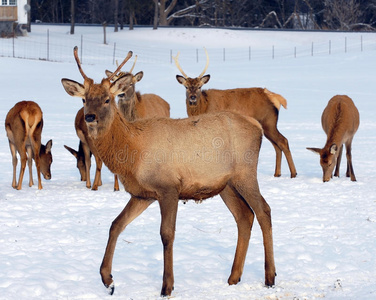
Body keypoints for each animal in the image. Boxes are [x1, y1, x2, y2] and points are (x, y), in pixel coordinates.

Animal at [61, 47, 276, 296]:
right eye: (84, 99)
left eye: (107, 99)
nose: (89, 117)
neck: (132, 153)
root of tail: (258, 127)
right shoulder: (142, 194)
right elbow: (116, 224)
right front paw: (108, 280)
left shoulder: (169, 187)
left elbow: (167, 234)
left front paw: (167, 286)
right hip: (225, 184)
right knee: (244, 216)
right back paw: (233, 277)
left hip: (245, 172)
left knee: (263, 210)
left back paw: (270, 277)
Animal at [173, 49, 296, 178]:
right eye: (186, 87)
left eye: (199, 86)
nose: (192, 98)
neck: (202, 108)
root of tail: (274, 97)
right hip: (267, 125)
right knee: (276, 145)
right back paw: (277, 173)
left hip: (268, 121)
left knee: (283, 141)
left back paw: (293, 173)